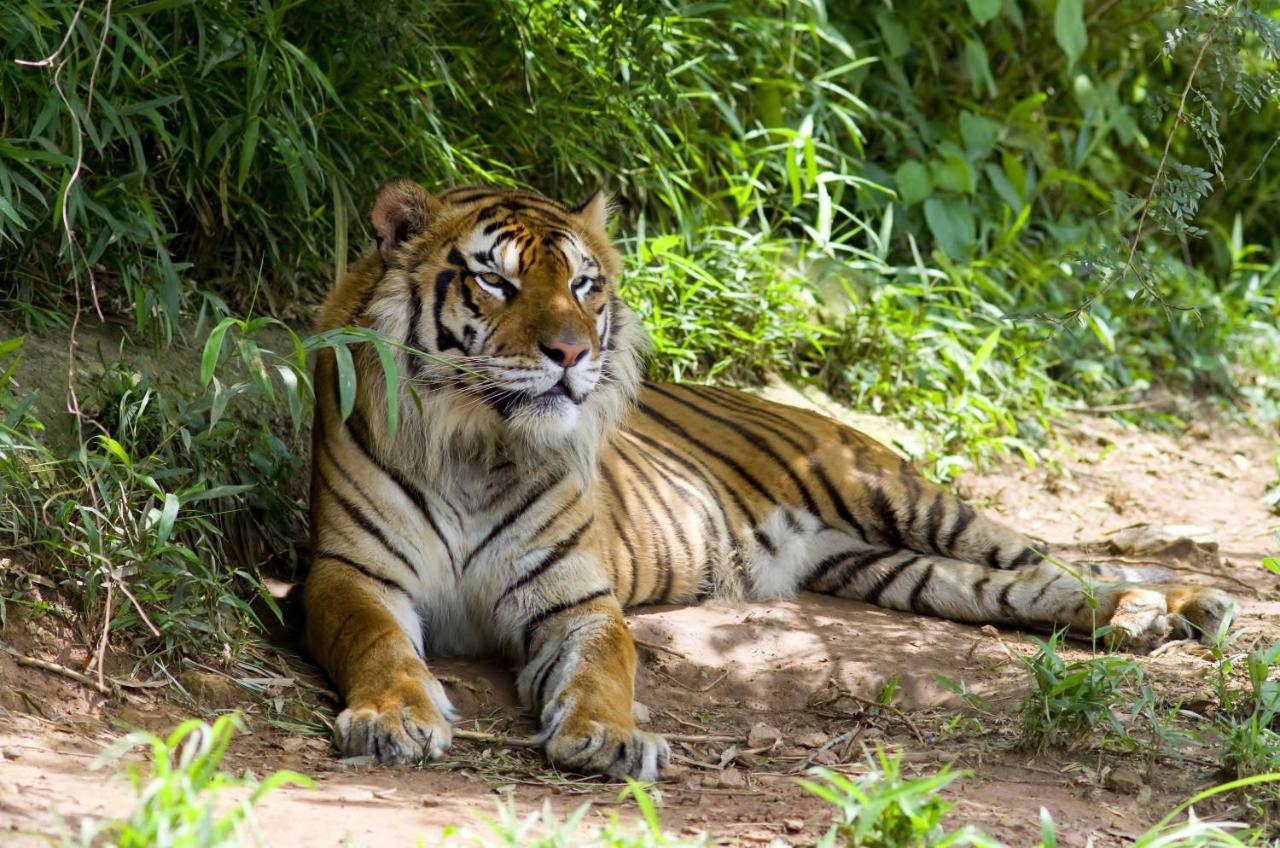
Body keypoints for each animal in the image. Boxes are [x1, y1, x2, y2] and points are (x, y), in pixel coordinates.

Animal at [304, 179, 1233, 783]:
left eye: (583, 284)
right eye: (494, 279)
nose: (571, 353)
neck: (479, 444)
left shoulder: (579, 601)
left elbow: (605, 670)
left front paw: (610, 739)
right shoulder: (349, 574)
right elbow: (378, 644)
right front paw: (395, 718)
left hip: (899, 496)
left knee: (1050, 562)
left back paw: (1182, 606)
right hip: (887, 568)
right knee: (1015, 590)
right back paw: (1148, 616)